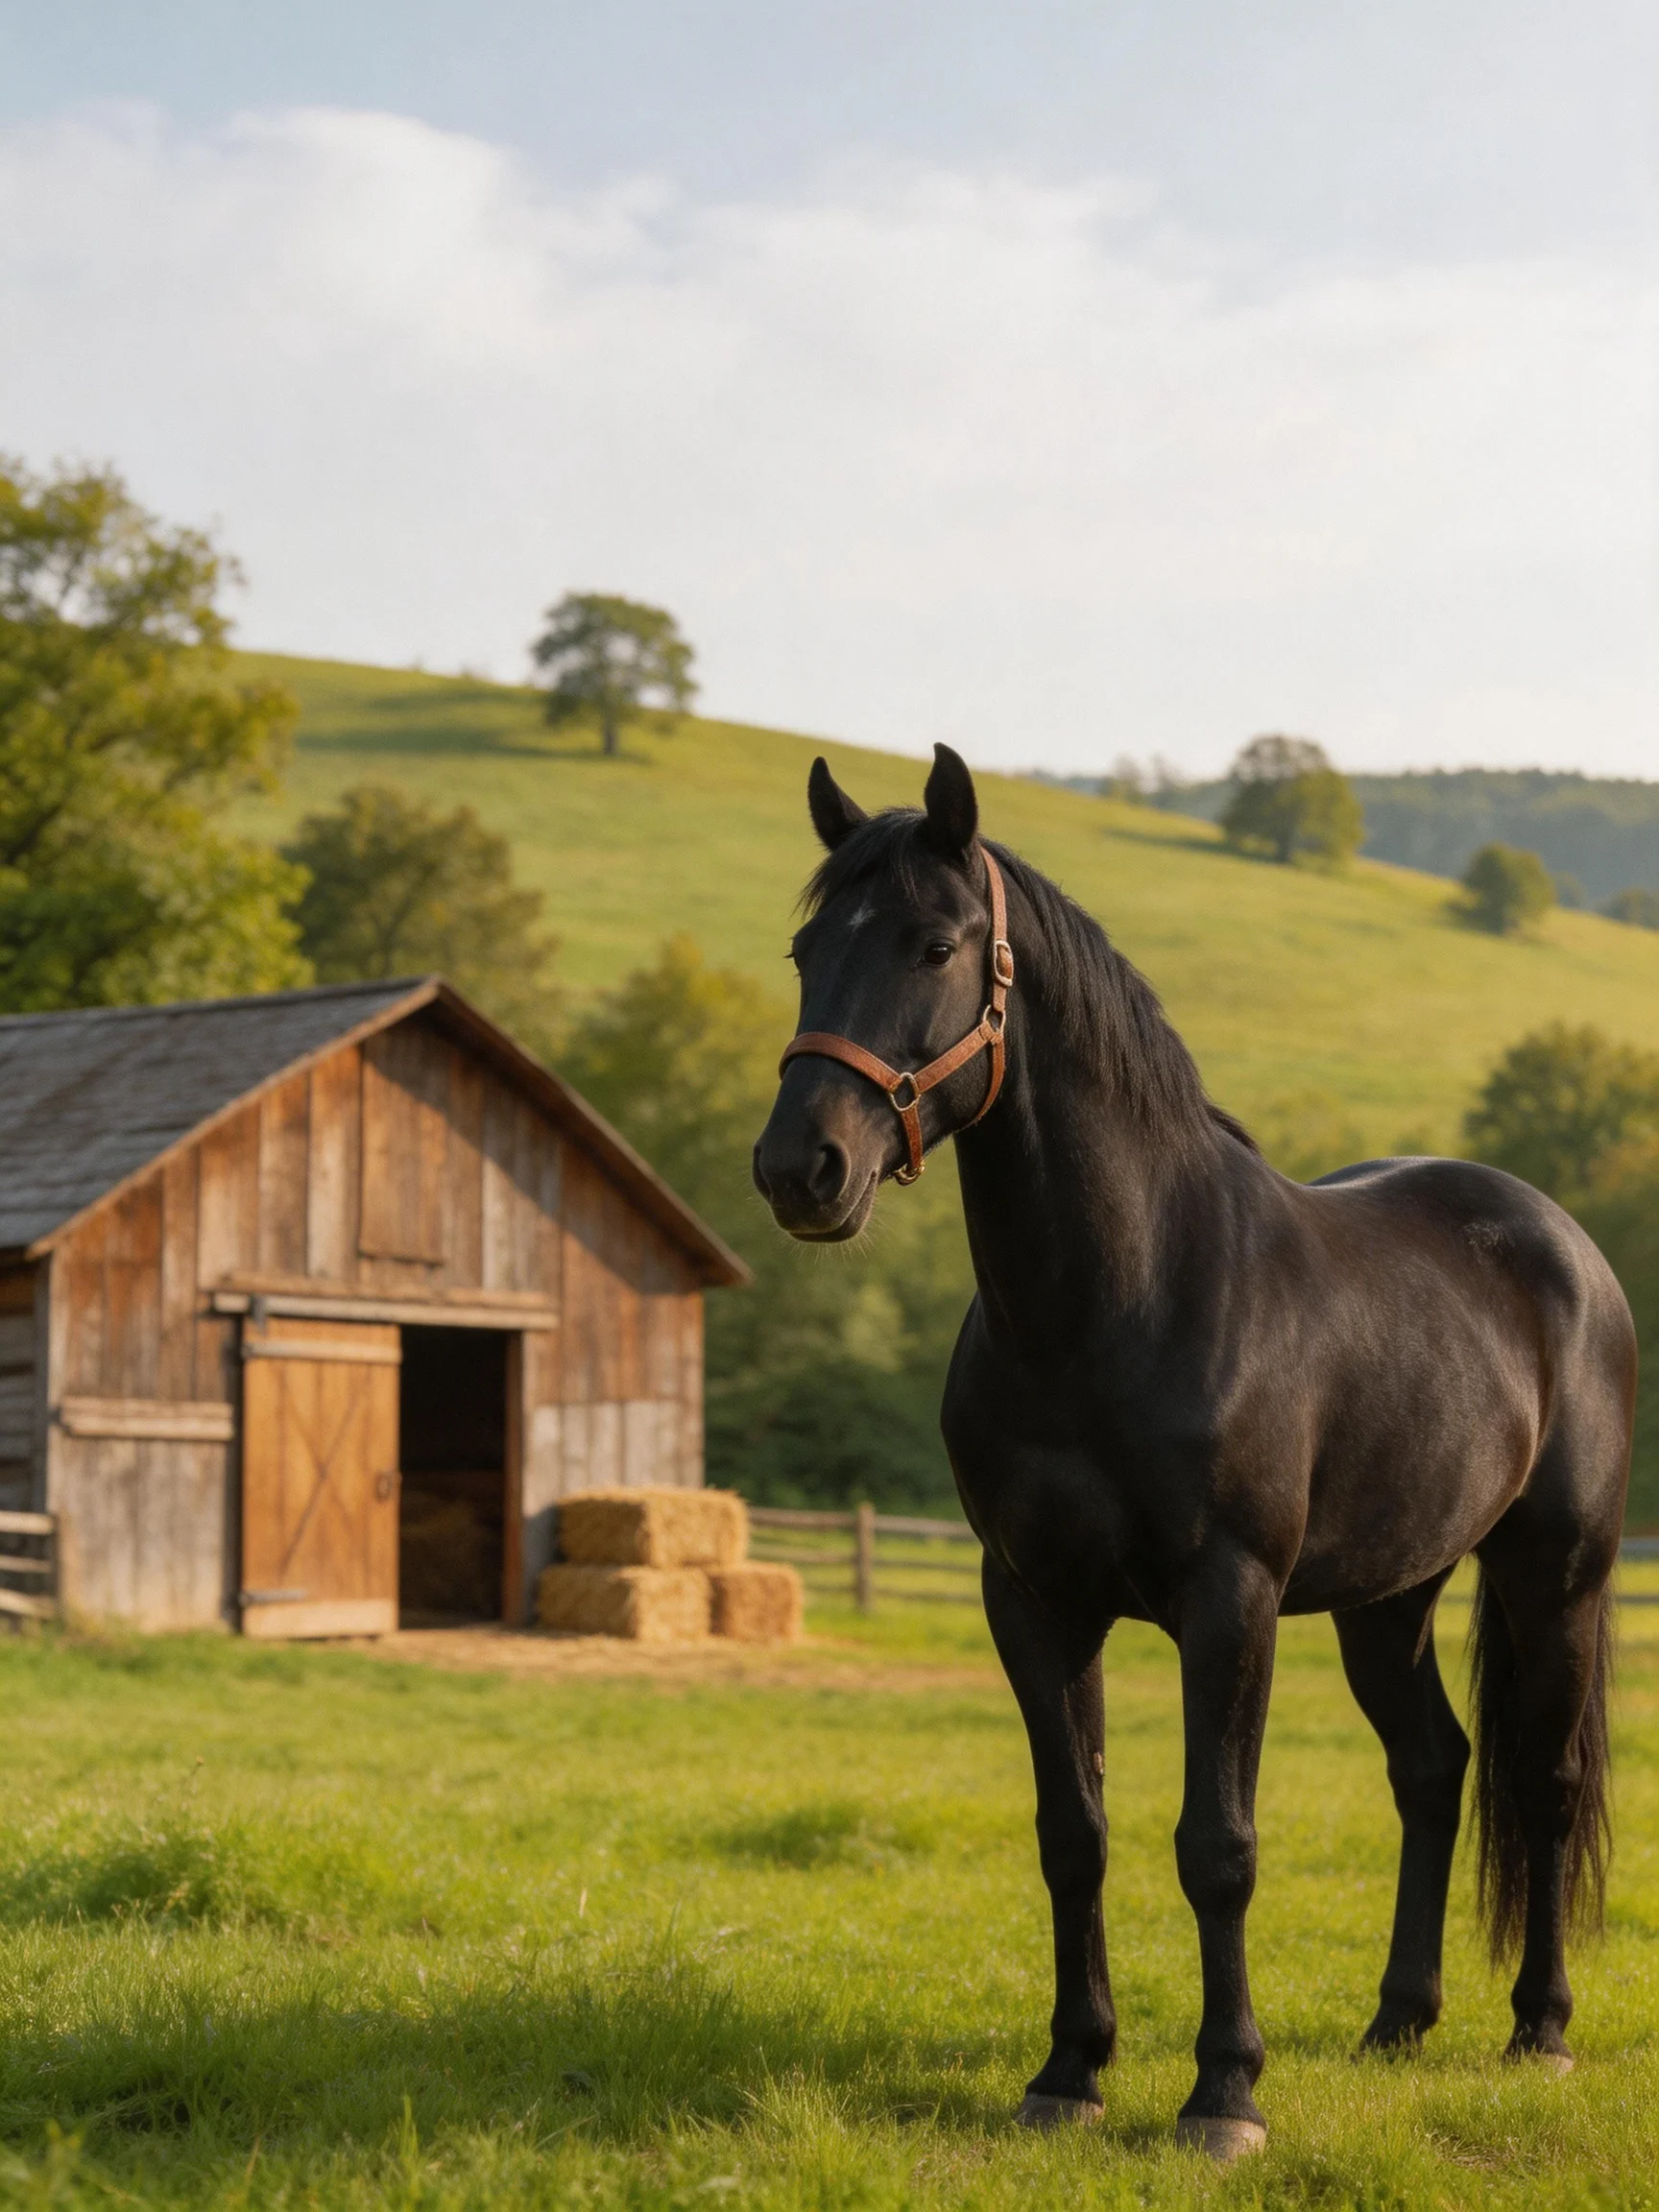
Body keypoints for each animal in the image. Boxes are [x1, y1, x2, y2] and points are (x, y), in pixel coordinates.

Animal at [751, 744, 1634, 2160]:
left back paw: (1538, 2031)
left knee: (1544, 1784)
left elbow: (1217, 1845)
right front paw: (1070, 2071)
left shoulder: (1232, 1602)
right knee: (1434, 1770)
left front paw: (1225, 2093)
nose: (801, 1167)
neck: (1117, 1299)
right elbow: (1075, 1832)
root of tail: (1566, 1248)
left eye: (935, 943)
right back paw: (1398, 2022)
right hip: (1389, 1599)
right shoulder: (1033, 1601)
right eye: (805, 949)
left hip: (1557, 1578)